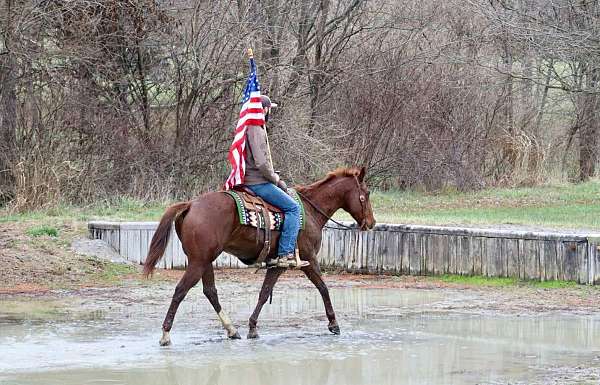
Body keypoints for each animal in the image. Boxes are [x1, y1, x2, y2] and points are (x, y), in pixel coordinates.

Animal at [144, 165, 376, 344]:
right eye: (366, 193)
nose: (371, 223)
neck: (310, 211)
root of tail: (191, 204)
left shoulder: (277, 264)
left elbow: (264, 293)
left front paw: (252, 327)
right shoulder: (308, 258)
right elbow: (323, 287)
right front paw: (333, 323)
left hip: (204, 261)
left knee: (210, 291)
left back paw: (232, 330)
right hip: (198, 262)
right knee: (181, 290)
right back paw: (165, 334)